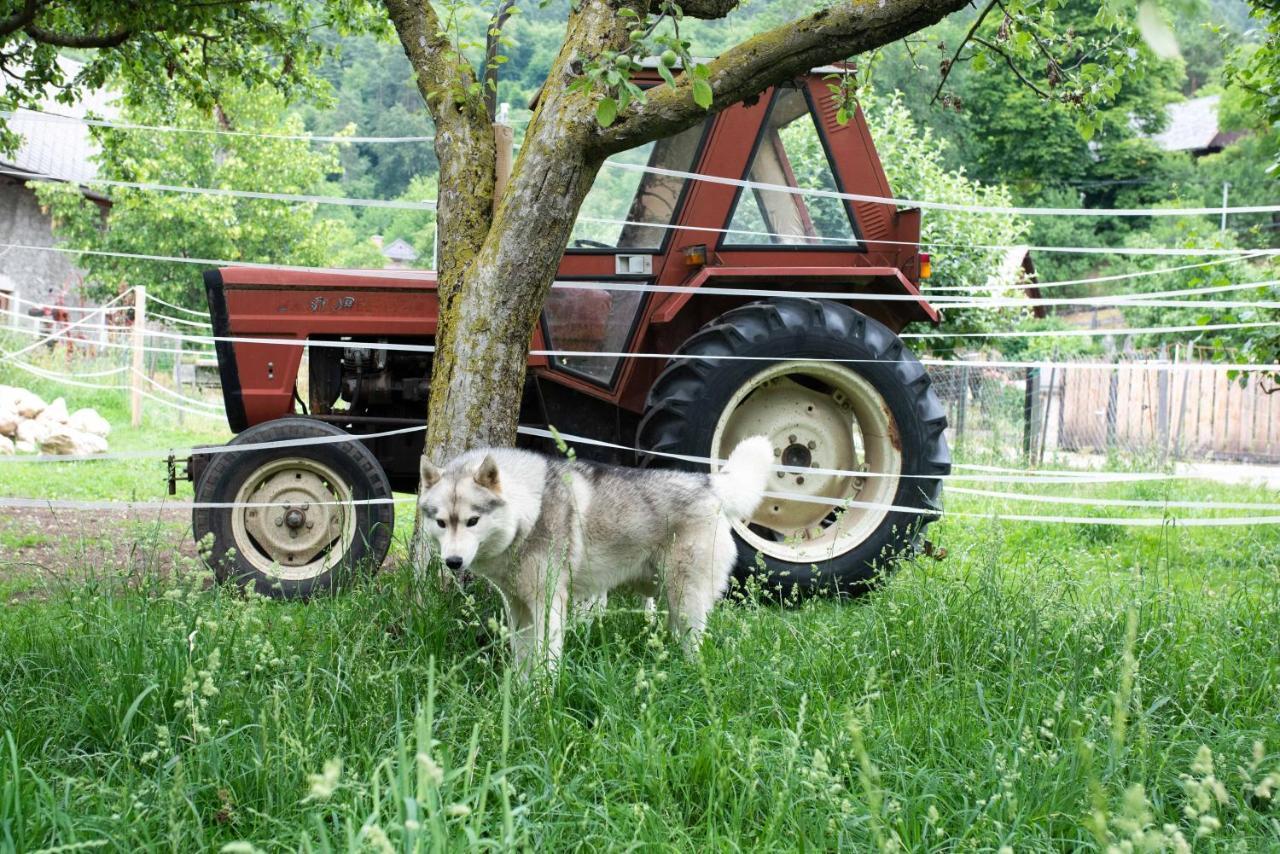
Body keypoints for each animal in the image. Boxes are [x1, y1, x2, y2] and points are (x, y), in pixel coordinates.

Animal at [424, 440, 773, 676]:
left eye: (472, 521)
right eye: (441, 523)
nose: (453, 562)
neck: (530, 510)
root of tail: (709, 484)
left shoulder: (549, 605)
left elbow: (545, 662)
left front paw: (540, 701)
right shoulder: (518, 608)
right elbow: (522, 659)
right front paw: (521, 697)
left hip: (686, 602)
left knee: (695, 646)